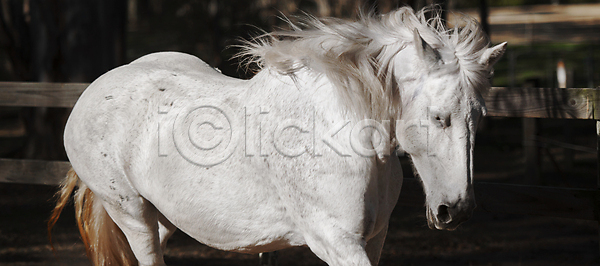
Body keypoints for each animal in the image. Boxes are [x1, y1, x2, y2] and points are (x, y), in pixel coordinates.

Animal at [48, 6, 506, 266]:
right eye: (438, 117)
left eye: (480, 117)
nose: (456, 211)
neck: (341, 136)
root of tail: (94, 90)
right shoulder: (335, 241)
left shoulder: (375, 239)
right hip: (130, 213)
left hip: (161, 217)